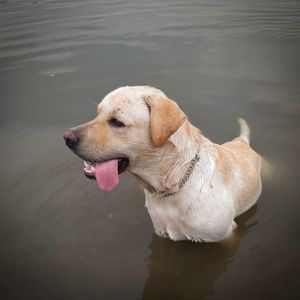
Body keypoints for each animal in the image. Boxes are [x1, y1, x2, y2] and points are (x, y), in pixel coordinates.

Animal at [63, 86, 262, 241]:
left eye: (117, 122)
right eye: (97, 114)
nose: (66, 138)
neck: (173, 183)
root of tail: (241, 141)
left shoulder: (224, 235)